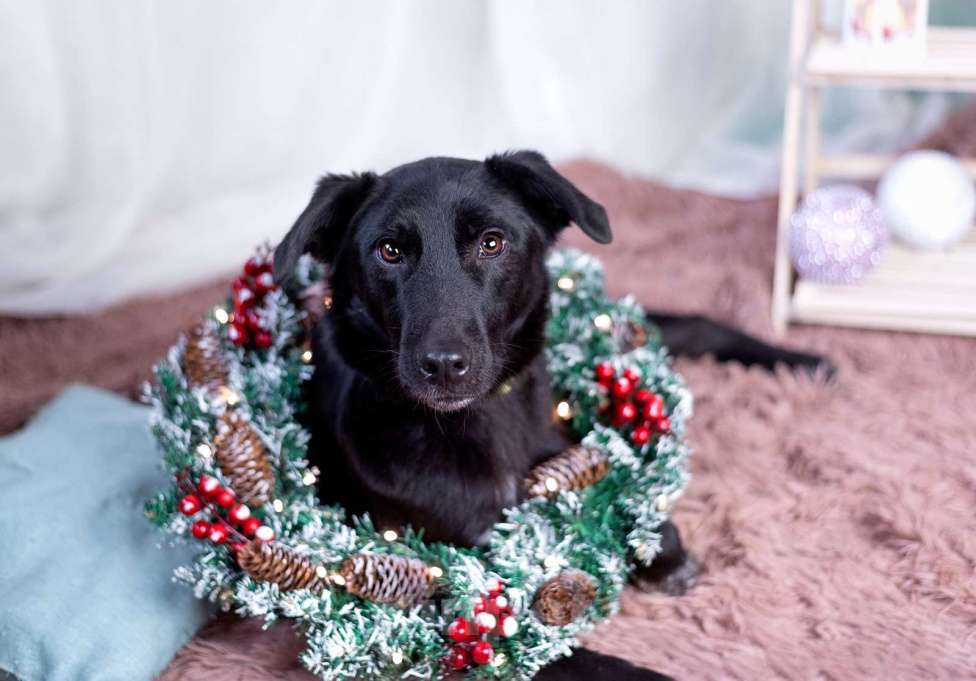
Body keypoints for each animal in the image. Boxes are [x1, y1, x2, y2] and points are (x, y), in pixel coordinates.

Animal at [272, 150, 824, 680]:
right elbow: (590, 663)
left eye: (492, 243)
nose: (444, 365)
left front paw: (665, 552)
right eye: (388, 251)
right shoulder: (451, 623)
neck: (480, 420)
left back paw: (806, 360)